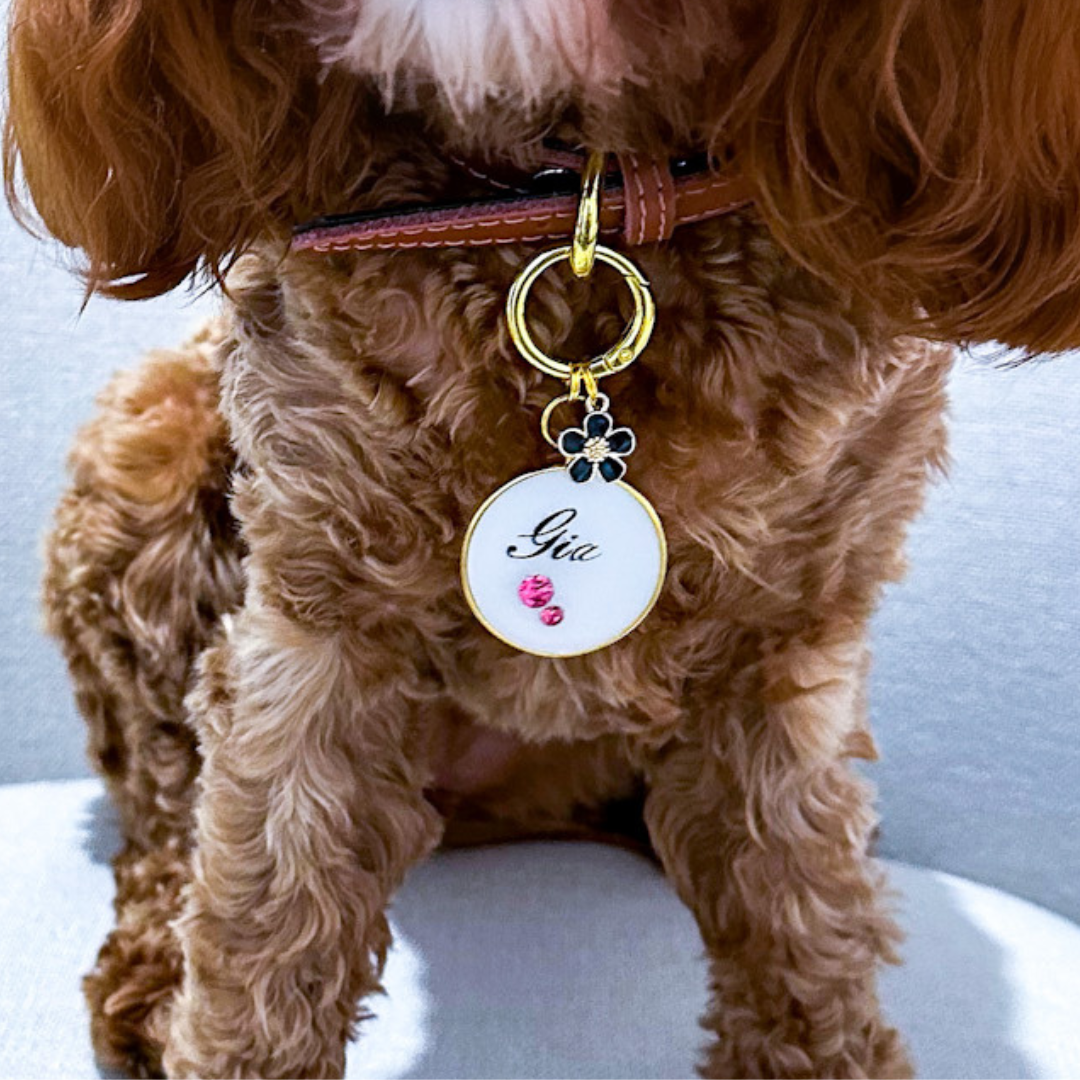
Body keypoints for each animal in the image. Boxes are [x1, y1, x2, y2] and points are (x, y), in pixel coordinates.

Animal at [8, 2, 1080, 1080]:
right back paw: (151, 980)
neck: (585, 205)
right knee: (162, 810)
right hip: (147, 452)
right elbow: (263, 937)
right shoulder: (318, 617)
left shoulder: (791, 641)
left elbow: (801, 907)